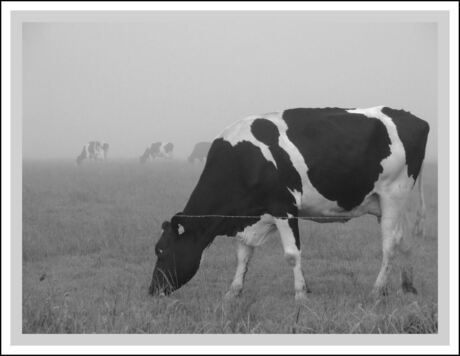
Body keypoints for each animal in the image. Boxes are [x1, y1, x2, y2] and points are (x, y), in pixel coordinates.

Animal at [149, 105, 430, 300]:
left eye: (160, 251)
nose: (152, 290)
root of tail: (416, 119)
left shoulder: (283, 207)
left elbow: (292, 255)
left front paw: (300, 294)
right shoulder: (250, 217)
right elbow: (243, 255)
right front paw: (233, 292)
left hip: (393, 194)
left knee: (390, 244)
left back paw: (377, 289)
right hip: (391, 202)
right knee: (405, 239)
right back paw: (407, 287)